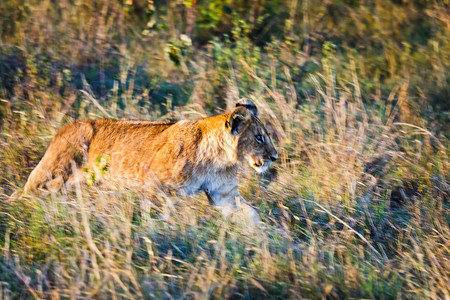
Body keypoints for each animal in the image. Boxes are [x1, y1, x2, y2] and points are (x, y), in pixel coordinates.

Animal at [23, 99, 278, 221]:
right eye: (259, 137)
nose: (274, 157)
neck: (218, 159)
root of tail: (64, 127)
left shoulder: (224, 194)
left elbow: (252, 215)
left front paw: (267, 242)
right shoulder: (154, 188)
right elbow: (157, 220)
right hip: (52, 176)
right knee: (28, 192)